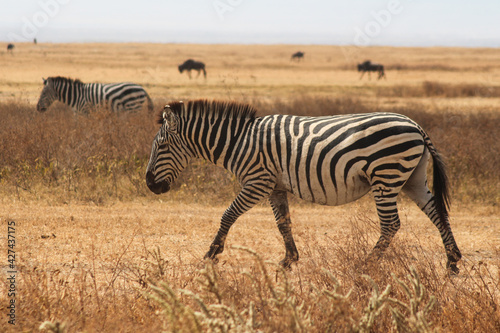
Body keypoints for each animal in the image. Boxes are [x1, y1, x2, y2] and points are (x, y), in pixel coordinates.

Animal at [146, 98, 462, 272]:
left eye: (161, 147)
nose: (150, 185)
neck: (238, 142)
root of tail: (416, 126)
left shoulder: (258, 181)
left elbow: (228, 215)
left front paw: (212, 253)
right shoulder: (275, 186)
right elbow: (283, 222)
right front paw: (290, 259)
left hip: (386, 175)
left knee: (391, 224)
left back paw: (367, 263)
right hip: (411, 178)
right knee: (437, 212)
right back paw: (453, 261)